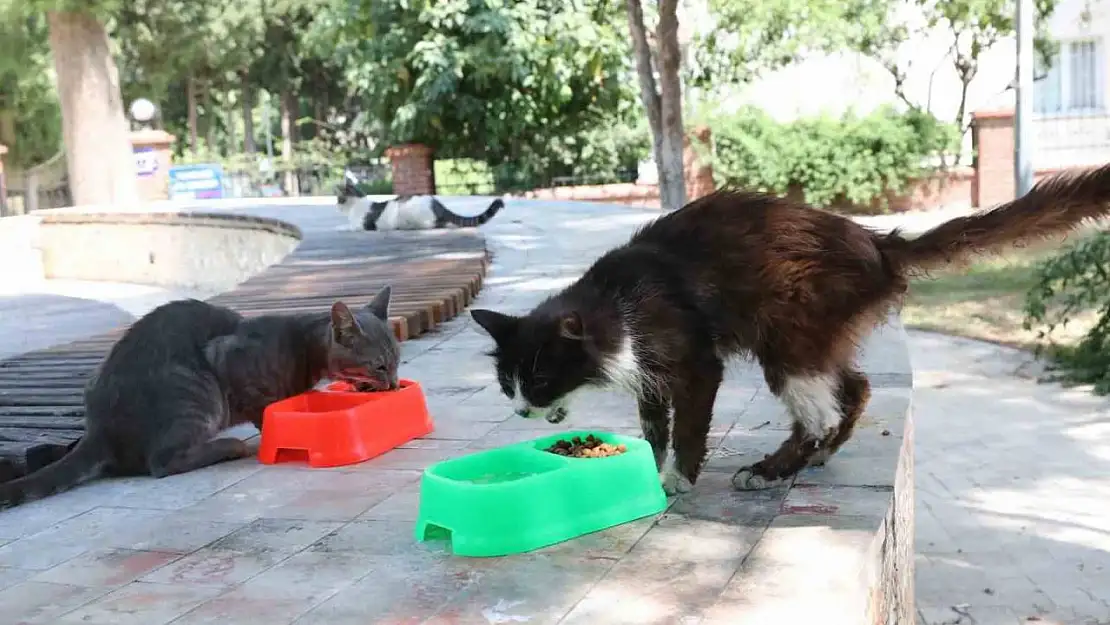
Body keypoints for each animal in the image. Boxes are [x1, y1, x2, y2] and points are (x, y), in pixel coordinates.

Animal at [0, 286, 399, 510]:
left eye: (396, 361)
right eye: (380, 366)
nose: (395, 385)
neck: (302, 345)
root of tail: (99, 428)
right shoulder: (230, 364)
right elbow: (266, 410)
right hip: (197, 389)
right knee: (162, 462)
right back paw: (229, 446)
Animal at [335, 173, 506, 232]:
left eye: (338, 199)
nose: (336, 206)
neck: (357, 202)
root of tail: (436, 204)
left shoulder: (359, 225)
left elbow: (351, 226)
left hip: (410, 214)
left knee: (434, 224)